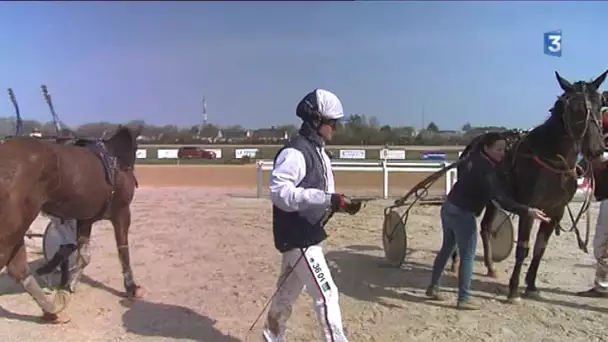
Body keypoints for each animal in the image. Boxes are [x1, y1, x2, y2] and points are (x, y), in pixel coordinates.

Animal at [0, 125, 141, 324]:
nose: (131, 168)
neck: (115, 159)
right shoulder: (121, 212)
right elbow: (123, 251)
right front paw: (131, 287)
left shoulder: (85, 219)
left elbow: (84, 256)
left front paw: (70, 285)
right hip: (14, 227)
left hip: (16, 228)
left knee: (18, 269)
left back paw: (52, 310)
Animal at [448, 69, 604, 302]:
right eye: (574, 108)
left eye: (600, 104)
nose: (596, 150)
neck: (552, 160)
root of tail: (473, 143)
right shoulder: (529, 209)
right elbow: (523, 248)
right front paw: (514, 290)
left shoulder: (555, 211)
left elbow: (540, 248)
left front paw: (531, 285)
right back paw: (456, 261)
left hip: (493, 199)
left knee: (485, 227)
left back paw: (491, 267)